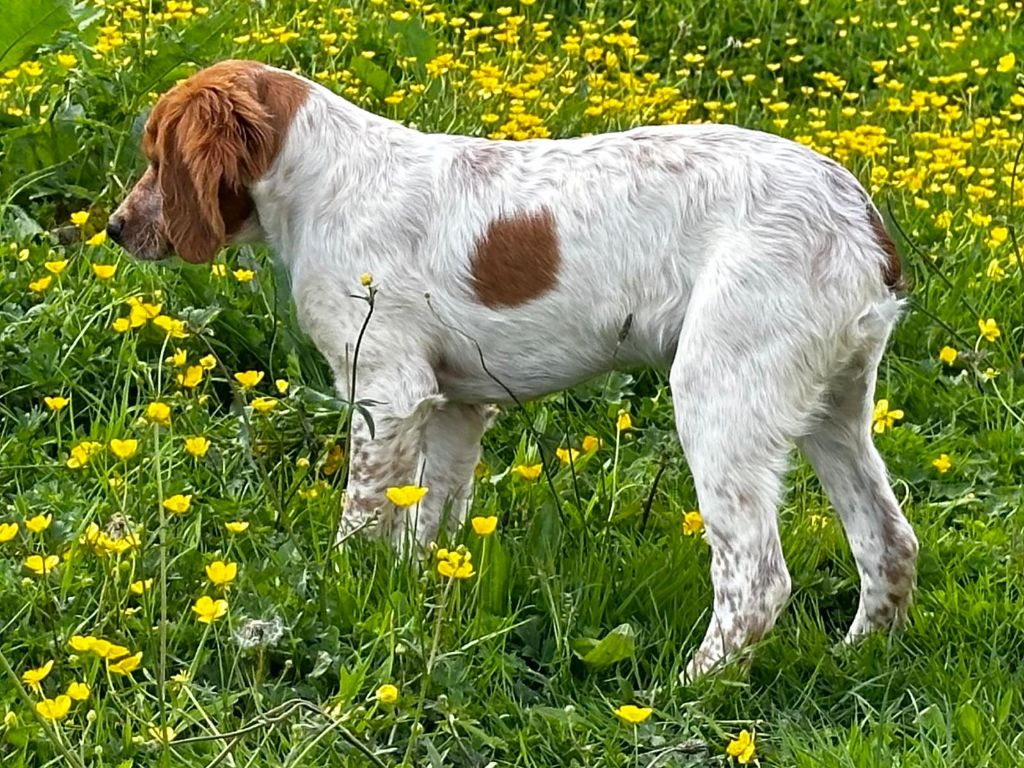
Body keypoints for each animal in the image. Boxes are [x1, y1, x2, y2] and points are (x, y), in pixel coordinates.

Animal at [112, 58, 921, 679]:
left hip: (720, 395)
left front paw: (346, 593)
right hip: (833, 407)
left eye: (155, 156)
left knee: (754, 577)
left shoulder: (387, 389)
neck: (327, 179)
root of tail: (857, 212)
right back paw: (858, 658)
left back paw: (687, 688)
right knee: (889, 540)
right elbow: (427, 519)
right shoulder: (454, 406)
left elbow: (364, 517)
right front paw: (413, 598)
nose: (116, 227)